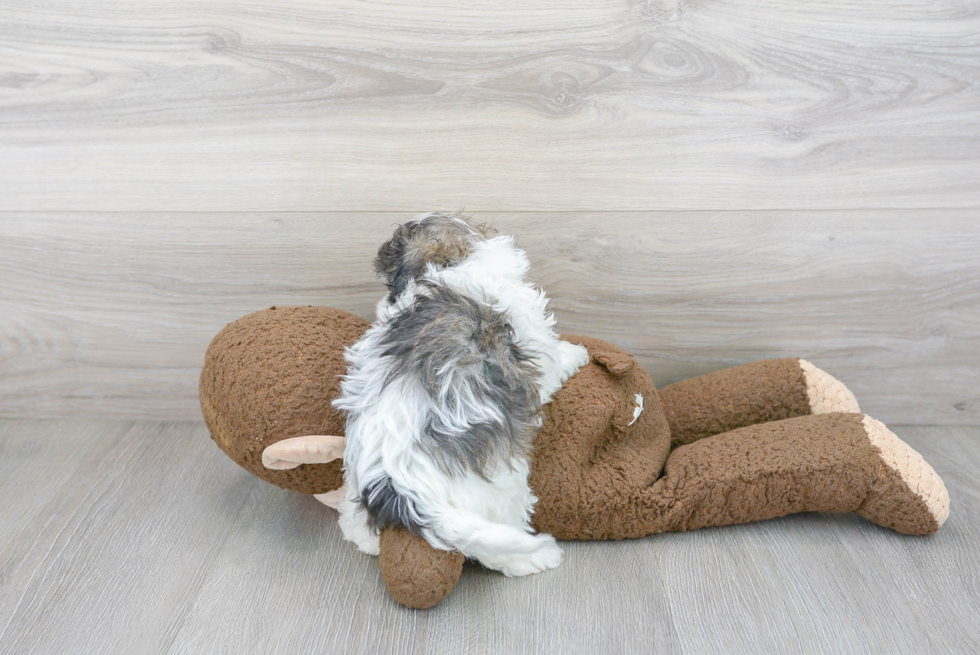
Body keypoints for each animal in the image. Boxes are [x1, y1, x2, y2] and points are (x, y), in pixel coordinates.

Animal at [334, 213, 588, 576]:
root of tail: (397, 485)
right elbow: (555, 359)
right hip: (499, 487)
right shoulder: (537, 346)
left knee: (356, 525)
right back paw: (535, 556)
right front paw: (577, 353)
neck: (442, 271)